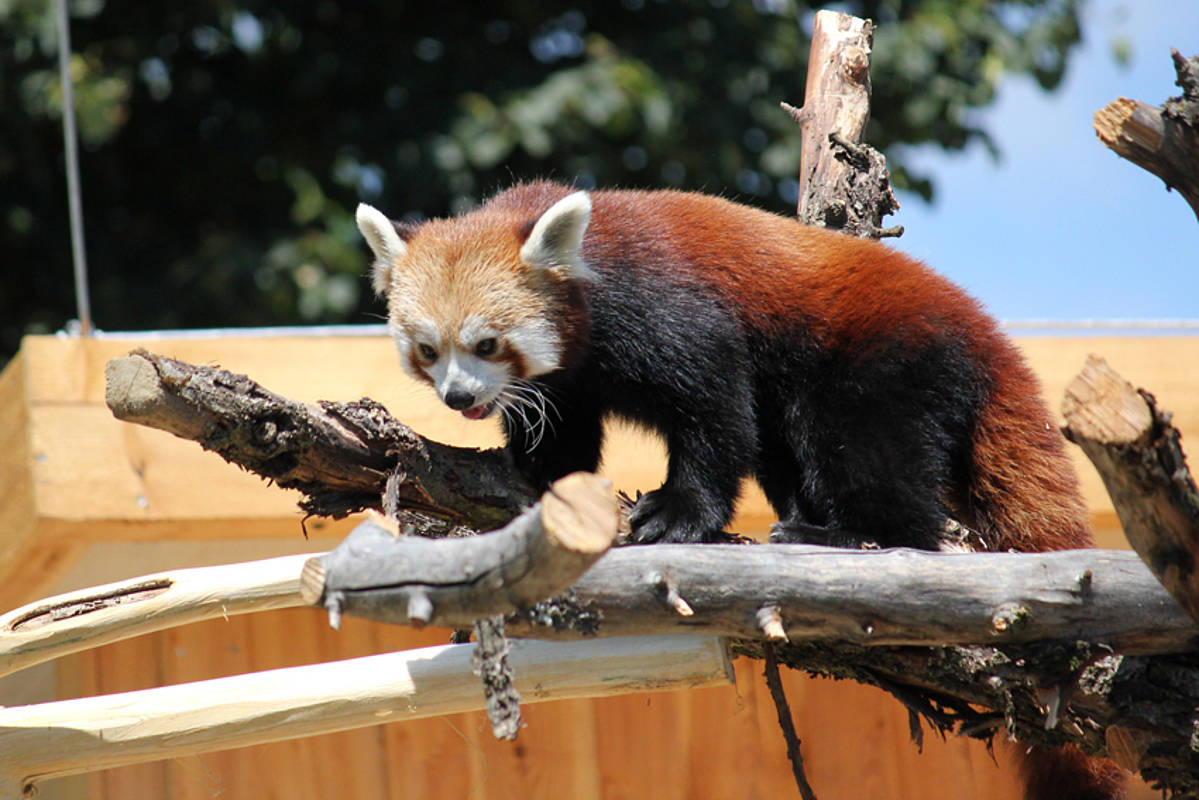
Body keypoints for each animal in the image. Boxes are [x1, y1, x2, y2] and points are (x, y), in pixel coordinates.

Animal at [354, 181, 1122, 800]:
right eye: (429, 350)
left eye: (487, 344)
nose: (458, 397)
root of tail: (981, 326)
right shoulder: (567, 380)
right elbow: (561, 434)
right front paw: (540, 488)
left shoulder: (671, 309)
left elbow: (715, 410)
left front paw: (677, 515)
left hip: (882, 362)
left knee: (875, 459)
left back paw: (849, 537)